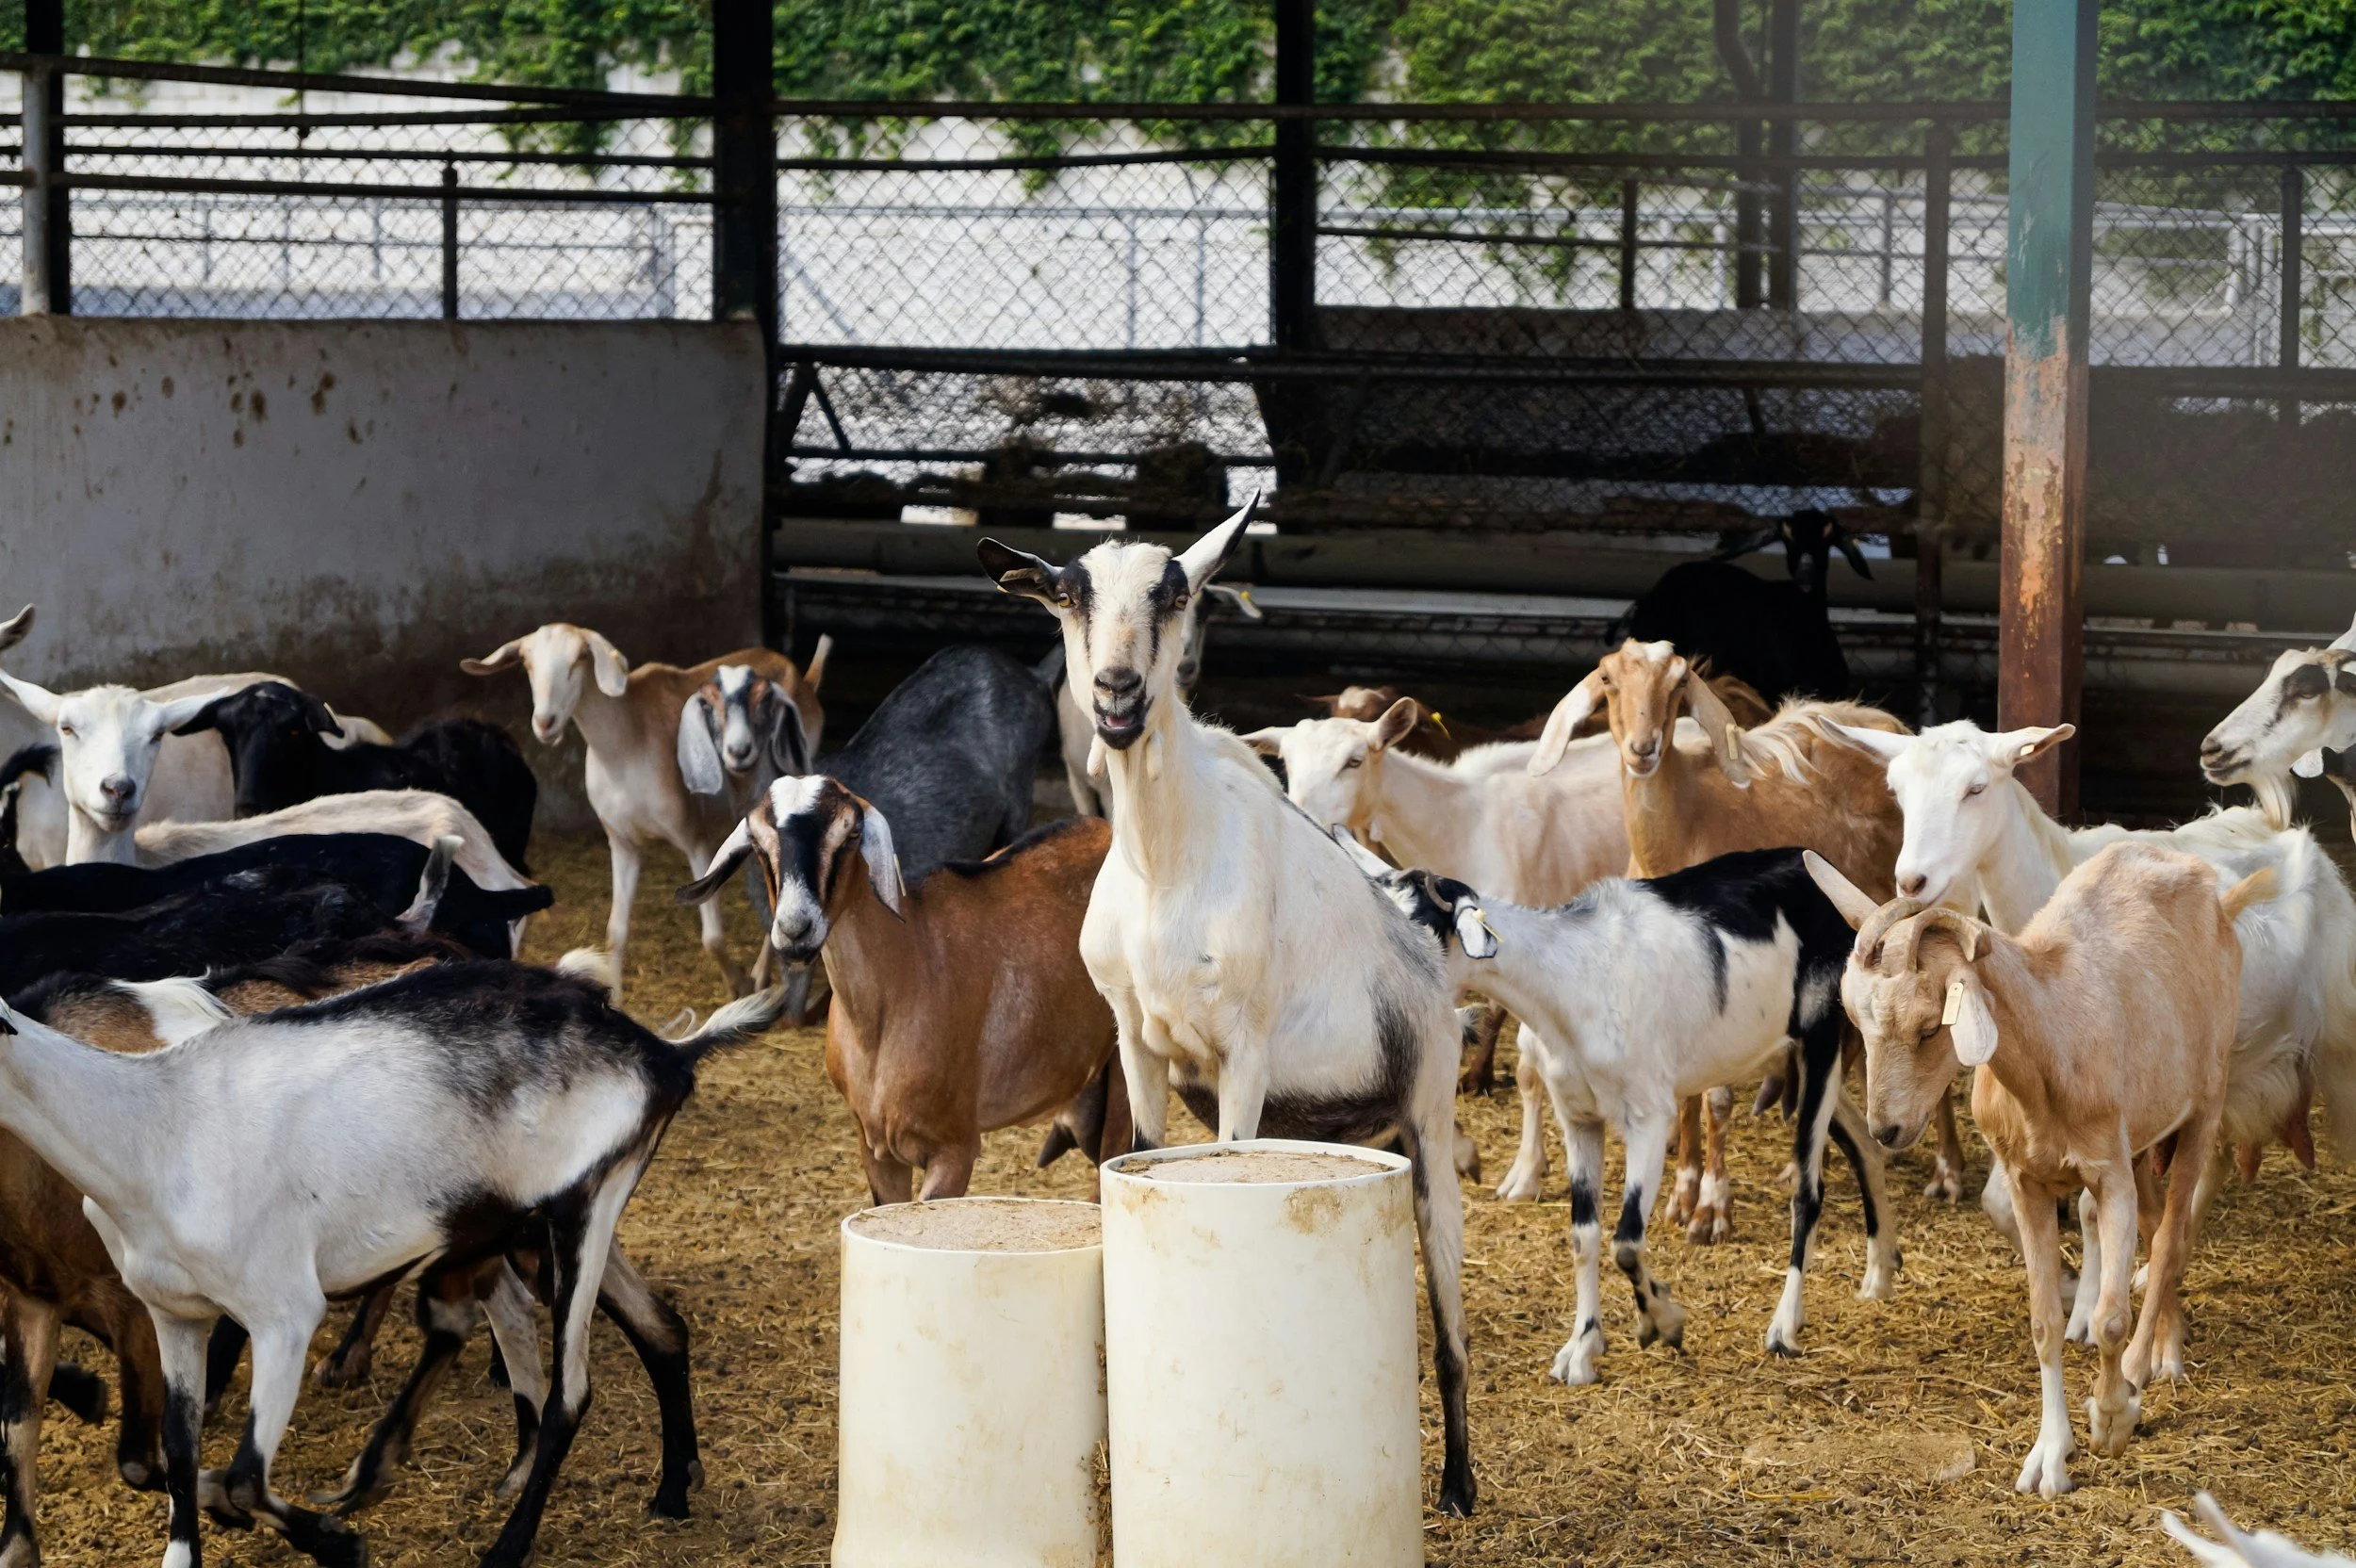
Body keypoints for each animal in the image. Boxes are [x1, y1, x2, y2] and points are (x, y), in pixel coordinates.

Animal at [0, 956, 783, 1568]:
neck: (156, 1129)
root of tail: (664, 1055)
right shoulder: (173, 1316)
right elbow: (182, 1454)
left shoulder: (283, 1315)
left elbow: (242, 1479)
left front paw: (340, 1543)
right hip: (524, 1226)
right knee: (654, 1329)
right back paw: (672, 1490)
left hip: (582, 1212)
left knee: (569, 1393)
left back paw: (505, 1546)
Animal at [462, 625, 822, 997]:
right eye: (526, 662)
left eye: (578, 660)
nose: (545, 723)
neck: (626, 744)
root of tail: (802, 677)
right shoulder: (622, 842)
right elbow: (615, 932)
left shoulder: (694, 838)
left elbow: (712, 937)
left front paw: (740, 985)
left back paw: (762, 976)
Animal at [1342, 833, 1895, 1377]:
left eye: (1419, 928)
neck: (1573, 979)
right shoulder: (1578, 1118)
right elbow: (1584, 1234)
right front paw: (1582, 1348)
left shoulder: (1650, 1117)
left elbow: (1627, 1240)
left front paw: (1664, 1321)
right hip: (1792, 1060)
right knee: (1866, 1145)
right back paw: (1880, 1275)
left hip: (1821, 1043)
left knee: (1809, 1191)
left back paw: (1784, 1327)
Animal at [1528, 639, 1941, 1234]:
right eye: (1607, 679)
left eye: (1678, 684)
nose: (1643, 749)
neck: (1687, 826)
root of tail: (1884, 721)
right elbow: (1685, 1094)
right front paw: (1682, 1192)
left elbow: (1717, 1098)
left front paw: (1711, 1207)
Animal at [1809, 845, 2265, 1496]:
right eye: (1856, 1017)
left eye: (1929, 1026)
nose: (1886, 1130)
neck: (2051, 1045)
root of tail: (2205, 883)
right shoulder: (2028, 1180)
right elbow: (2045, 1323)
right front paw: (2050, 1456)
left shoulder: (2108, 1172)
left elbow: (2108, 1319)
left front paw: (2112, 1419)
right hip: (2143, 1134)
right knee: (2158, 1226)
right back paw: (2165, 1343)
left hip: (2205, 1099)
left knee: (2172, 1238)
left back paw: (2148, 1365)